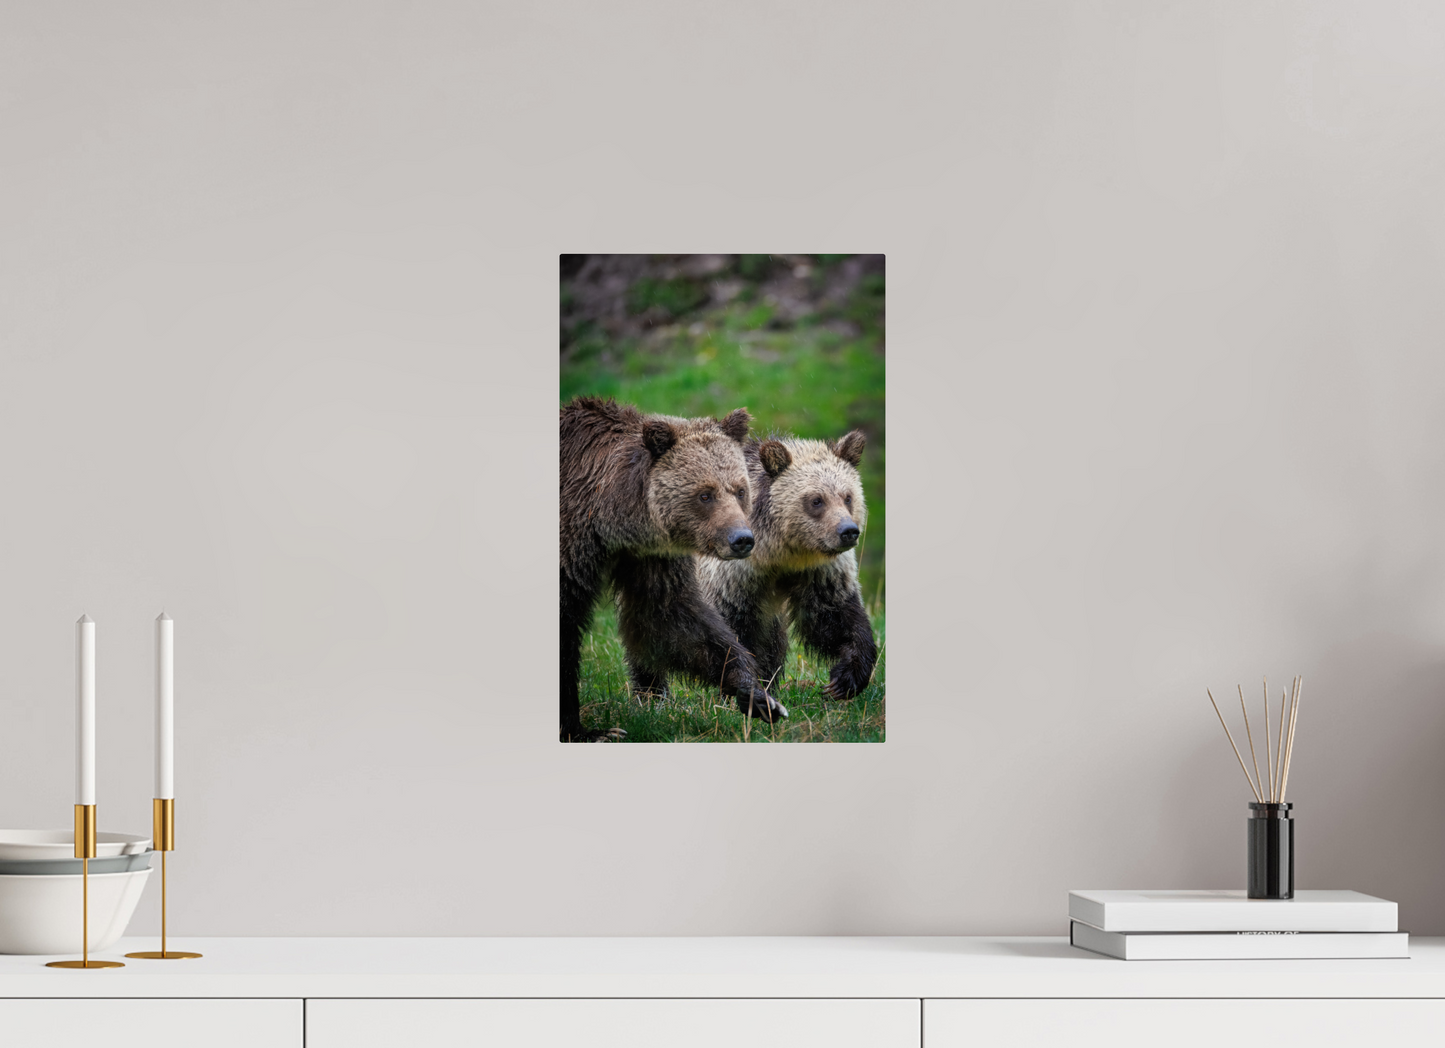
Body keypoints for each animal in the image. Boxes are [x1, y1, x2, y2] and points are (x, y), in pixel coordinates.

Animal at [559, 396, 788, 741]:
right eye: (705, 494)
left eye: (739, 490)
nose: (742, 539)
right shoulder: (572, 547)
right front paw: (590, 730)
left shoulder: (649, 557)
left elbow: (670, 617)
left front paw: (757, 695)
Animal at [697, 430, 878, 702]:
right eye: (816, 500)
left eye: (848, 497)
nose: (848, 531)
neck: (779, 553)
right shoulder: (732, 577)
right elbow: (734, 628)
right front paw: (744, 688)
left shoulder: (818, 572)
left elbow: (834, 616)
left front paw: (844, 680)